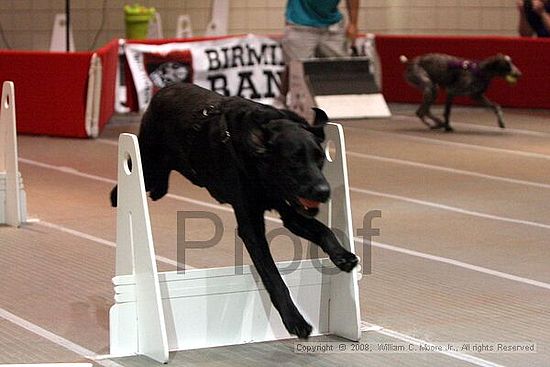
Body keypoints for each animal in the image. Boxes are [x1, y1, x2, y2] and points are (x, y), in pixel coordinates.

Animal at [112, 82, 362, 340]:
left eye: (320, 158)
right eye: (294, 160)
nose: (324, 191)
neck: (259, 164)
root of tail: (164, 88)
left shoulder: (290, 212)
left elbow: (323, 230)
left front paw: (343, 256)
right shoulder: (252, 228)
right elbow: (274, 277)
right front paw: (295, 320)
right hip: (148, 166)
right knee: (134, 174)